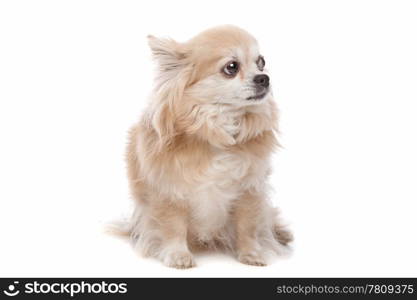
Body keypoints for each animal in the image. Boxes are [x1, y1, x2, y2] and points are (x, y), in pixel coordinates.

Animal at [125, 25, 290, 268]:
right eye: (231, 67)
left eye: (261, 62)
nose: (264, 78)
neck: (217, 130)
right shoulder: (168, 190)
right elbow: (173, 226)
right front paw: (178, 255)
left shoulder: (249, 188)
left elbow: (248, 225)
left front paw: (251, 253)